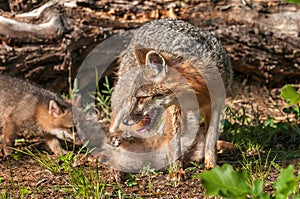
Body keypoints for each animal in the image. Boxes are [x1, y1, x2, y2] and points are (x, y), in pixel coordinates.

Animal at [109, 18, 233, 169]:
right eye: (137, 98)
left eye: (142, 98)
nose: (126, 121)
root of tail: (152, 22)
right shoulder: (174, 108)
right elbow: (174, 142)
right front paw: (176, 170)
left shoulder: (217, 104)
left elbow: (210, 140)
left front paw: (211, 166)